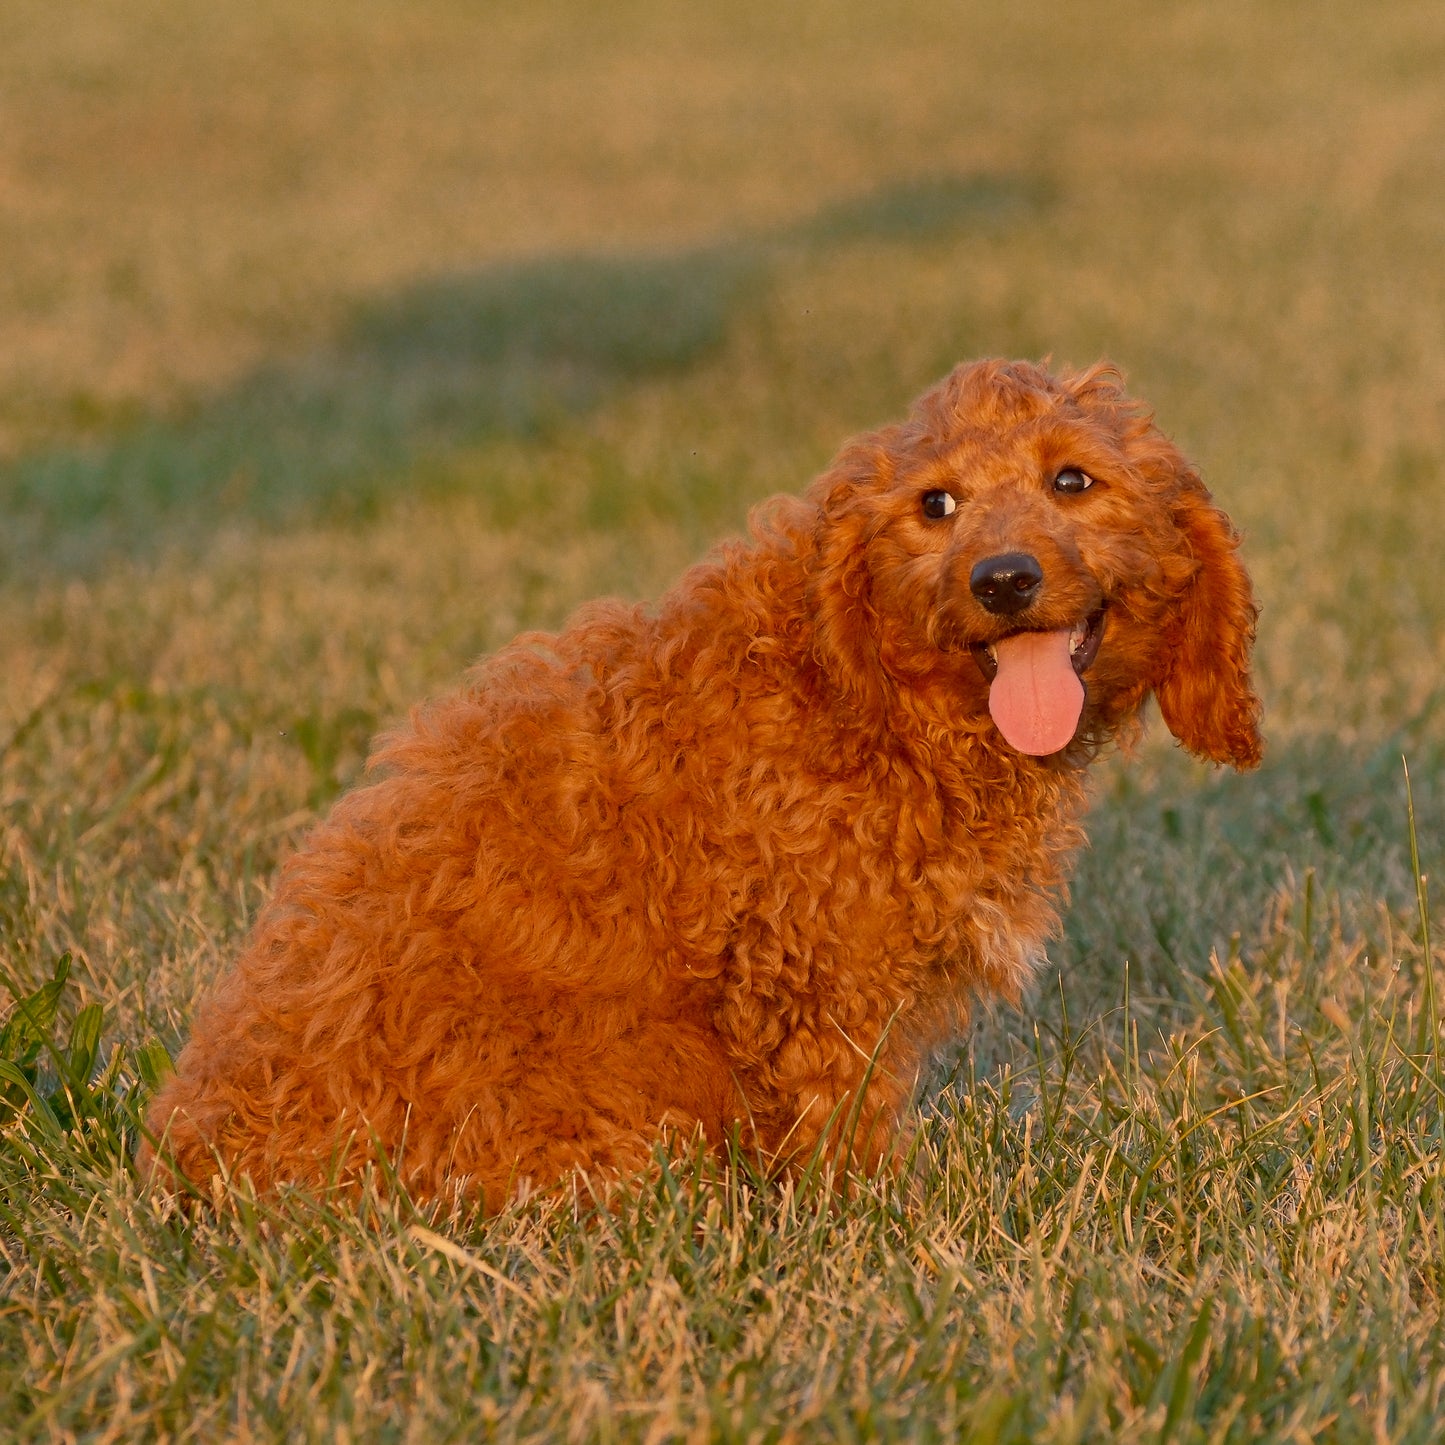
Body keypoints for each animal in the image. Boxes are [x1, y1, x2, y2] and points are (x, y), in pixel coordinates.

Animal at [140, 361, 1260, 1208]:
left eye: (1072, 480)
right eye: (934, 505)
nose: (1002, 579)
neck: (875, 689)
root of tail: (194, 1160)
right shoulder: (812, 977)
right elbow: (842, 1122)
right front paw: (882, 1223)